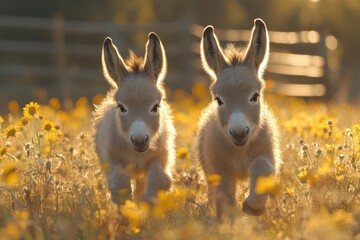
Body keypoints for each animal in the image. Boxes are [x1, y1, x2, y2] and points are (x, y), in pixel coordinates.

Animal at [93, 31, 175, 204]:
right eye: (122, 107)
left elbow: (159, 180)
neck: (137, 154)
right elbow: (119, 185)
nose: (139, 140)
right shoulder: (114, 159)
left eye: (155, 107)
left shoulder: (160, 156)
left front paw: (146, 206)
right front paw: (127, 210)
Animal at [197, 19, 282, 221]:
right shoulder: (221, 171)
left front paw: (253, 207)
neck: (240, 151)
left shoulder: (269, 156)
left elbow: (261, 166)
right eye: (219, 100)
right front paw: (230, 225)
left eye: (255, 96)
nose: (238, 133)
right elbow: (226, 204)